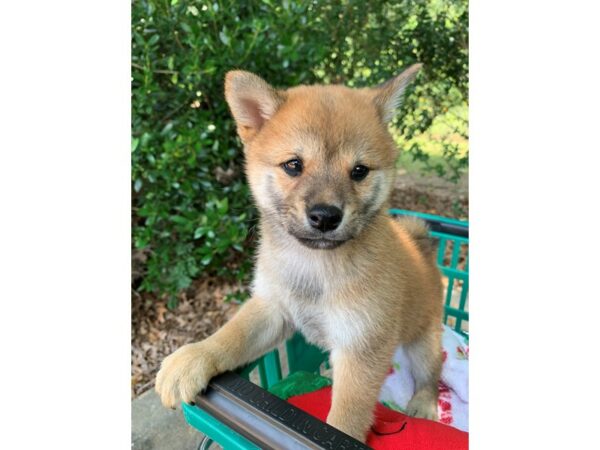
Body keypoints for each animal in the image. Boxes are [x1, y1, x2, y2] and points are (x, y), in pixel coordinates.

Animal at [157, 65, 442, 442]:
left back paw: (424, 404)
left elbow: (344, 420)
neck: (313, 267)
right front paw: (193, 357)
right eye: (293, 165)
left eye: (359, 171)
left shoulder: (361, 347)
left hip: (424, 341)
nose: (325, 216)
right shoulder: (272, 309)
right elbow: (231, 336)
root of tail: (423, 248)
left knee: (432, 373)